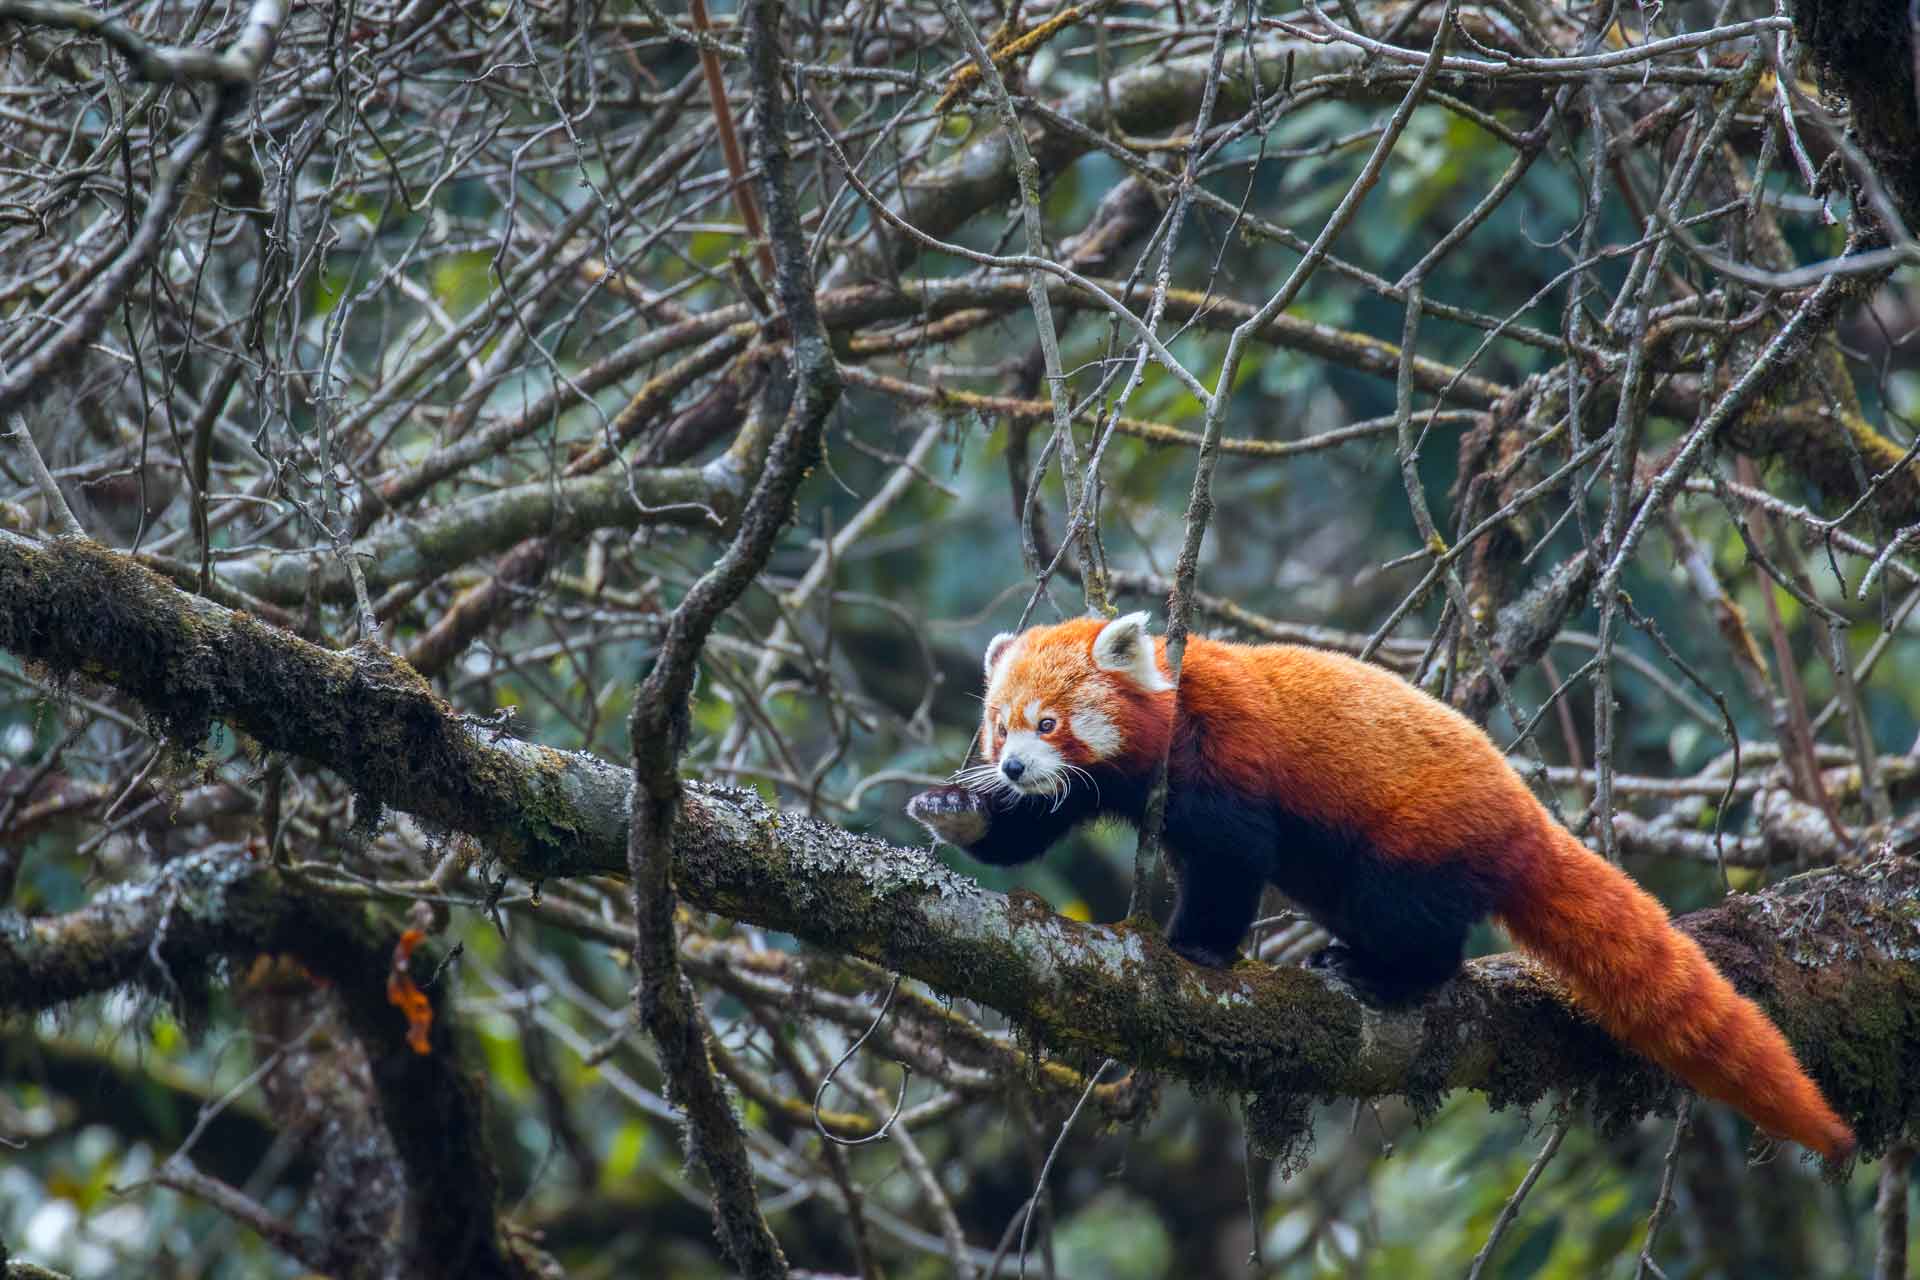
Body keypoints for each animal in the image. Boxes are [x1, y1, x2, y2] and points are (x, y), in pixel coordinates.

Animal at [906, 614, 1850, 1166]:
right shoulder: (1098, 786)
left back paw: (1381, 974)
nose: (1012, 764)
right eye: (1000, 725)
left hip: (1417, 838)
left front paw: (1198, 947)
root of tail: (1524, 817)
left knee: (1415, 921)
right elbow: (1035, 824)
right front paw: (958, 811)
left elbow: (1231, 858)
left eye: (1050, 722)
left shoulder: (1220, 755)